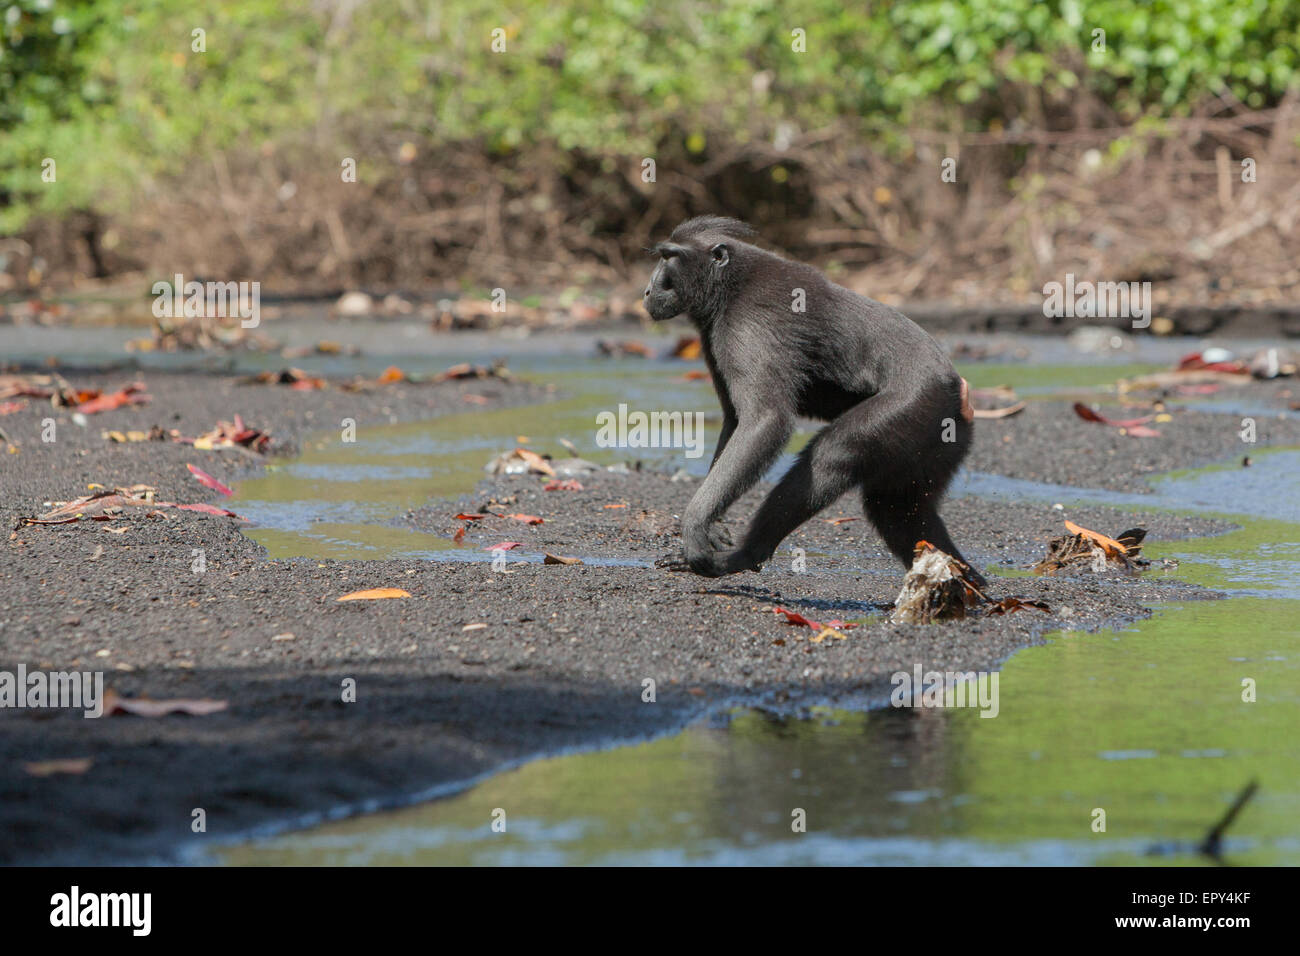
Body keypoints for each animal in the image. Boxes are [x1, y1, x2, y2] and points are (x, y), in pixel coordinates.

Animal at [644, 216, 984, 585]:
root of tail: (959, 391)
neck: (730, 284)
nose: (648, 290)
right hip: (937, 438)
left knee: (832, 455)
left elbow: (765, 420)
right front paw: (714, 524)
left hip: (915, 406)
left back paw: (744, 556)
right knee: (895, 509)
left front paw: (695, 526)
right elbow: (735, 419)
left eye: (669, 257)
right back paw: (966, 584)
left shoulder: (750, 322)